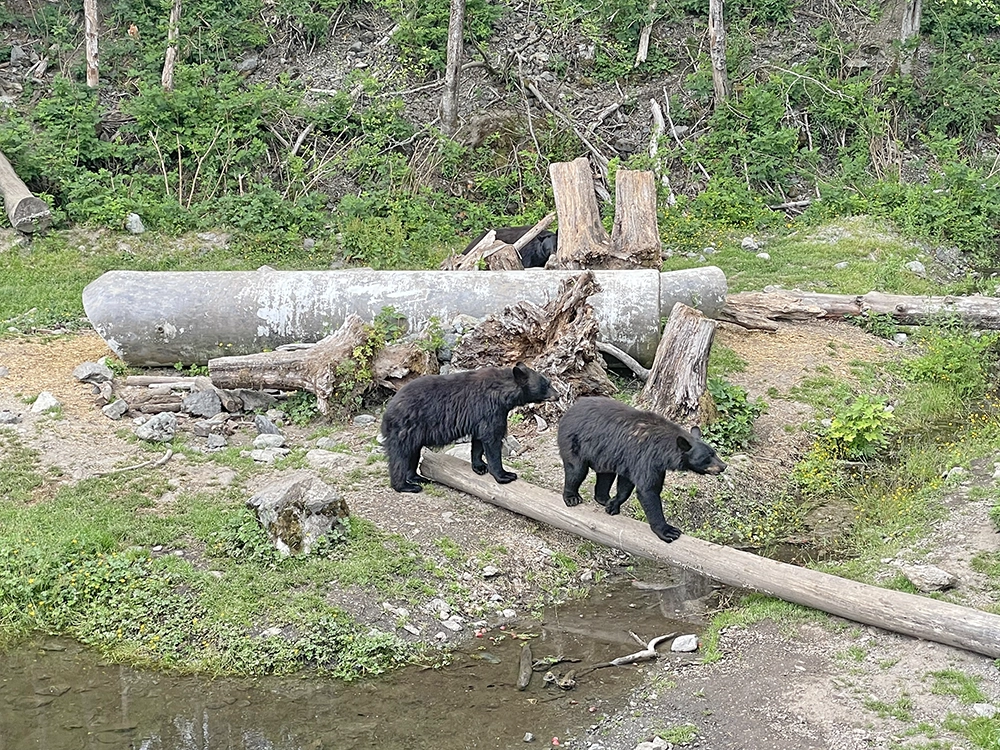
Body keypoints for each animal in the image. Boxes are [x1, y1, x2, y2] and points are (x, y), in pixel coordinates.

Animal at [380, 362, 560, 494]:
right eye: (547, 384)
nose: (558, 395)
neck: (503, 392)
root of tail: (388, 410)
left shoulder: (480, 416)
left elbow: (479, 441)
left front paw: (480, 467)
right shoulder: (490, 409)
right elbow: (492, 439)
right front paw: (505, 475)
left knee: (413, 453)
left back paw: (417, 477)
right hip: (405, 427)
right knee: (400, 457)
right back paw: (406, 486)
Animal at [556, 400, 728, 548]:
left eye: (714, 453)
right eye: (706, 458)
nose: (723, 466)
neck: (664, 450)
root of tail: (569, 411)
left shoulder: (639, 462)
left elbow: (626, 484)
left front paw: (613, 505)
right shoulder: (646, 457)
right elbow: (648, 490)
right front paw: (668, 531)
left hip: (604, 453)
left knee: (606, 474)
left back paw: (603, 498)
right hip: (574, 441)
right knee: (576, 470)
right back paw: (571, 497)